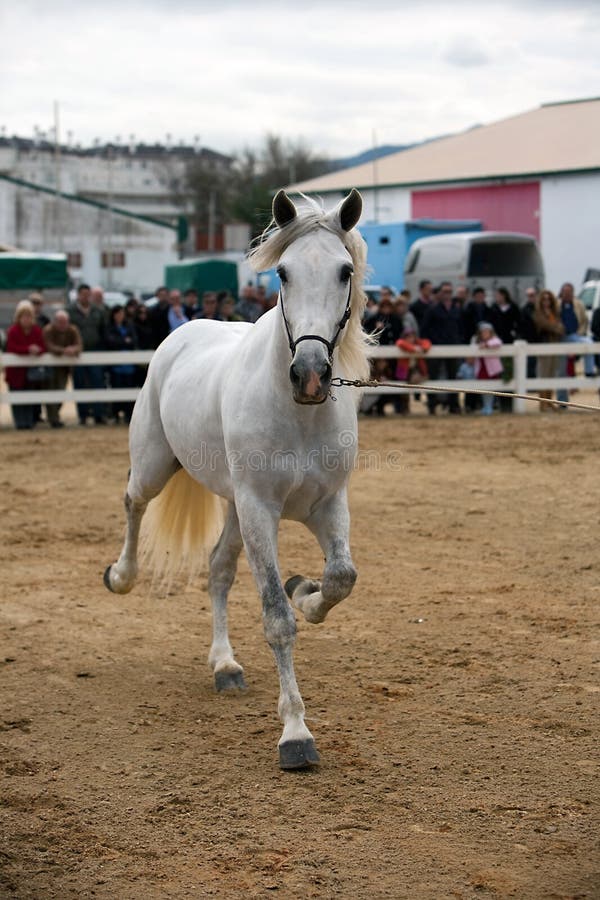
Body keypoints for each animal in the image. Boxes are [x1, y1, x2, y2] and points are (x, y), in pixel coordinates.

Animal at [104, 188, 370, 769]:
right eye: (283, 274)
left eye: (344, 271)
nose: (310, 375)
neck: (297, 414)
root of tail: (186, 330)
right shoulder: (260, 511)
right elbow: (277, 619)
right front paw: (295, 735)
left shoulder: (328, 505)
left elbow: (340, 578)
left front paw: (306, 592)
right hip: (158, 465)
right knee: (133, 502)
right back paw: (121, 576)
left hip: (230, 507)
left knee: (218, 571)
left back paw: (225, 666)